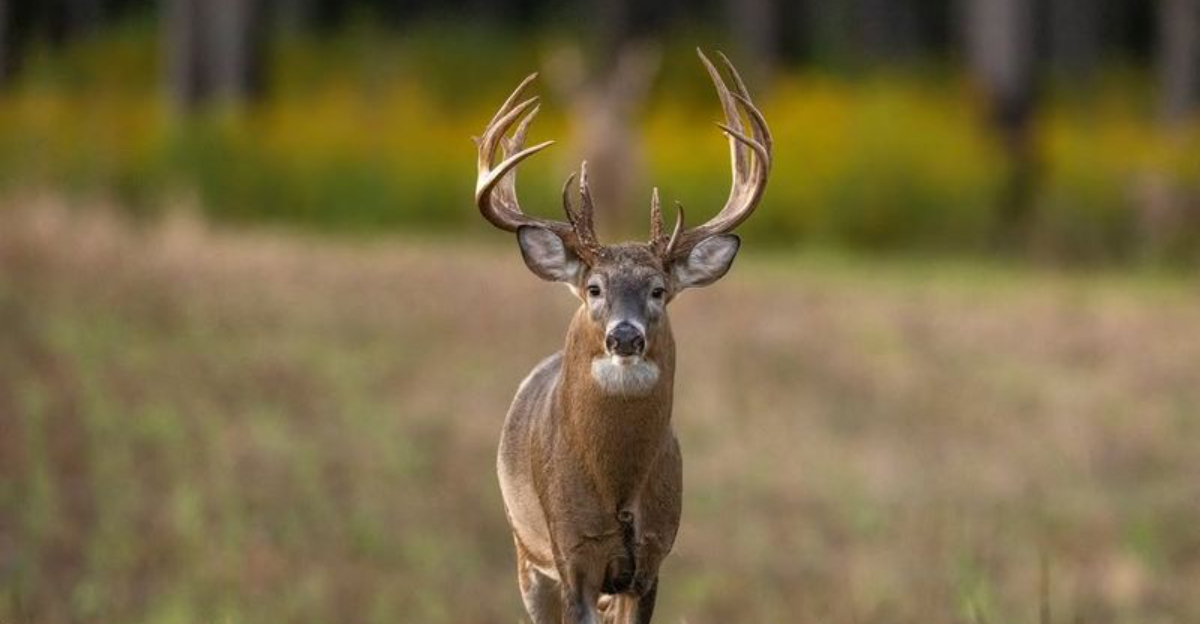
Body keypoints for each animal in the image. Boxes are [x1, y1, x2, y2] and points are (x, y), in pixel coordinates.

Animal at [474, 49, 771, 624]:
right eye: (594, 287)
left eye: (658, 290)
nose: (625, 337)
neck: (617, 487)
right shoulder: (573, 555)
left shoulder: (651, 559)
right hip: (524, 550)